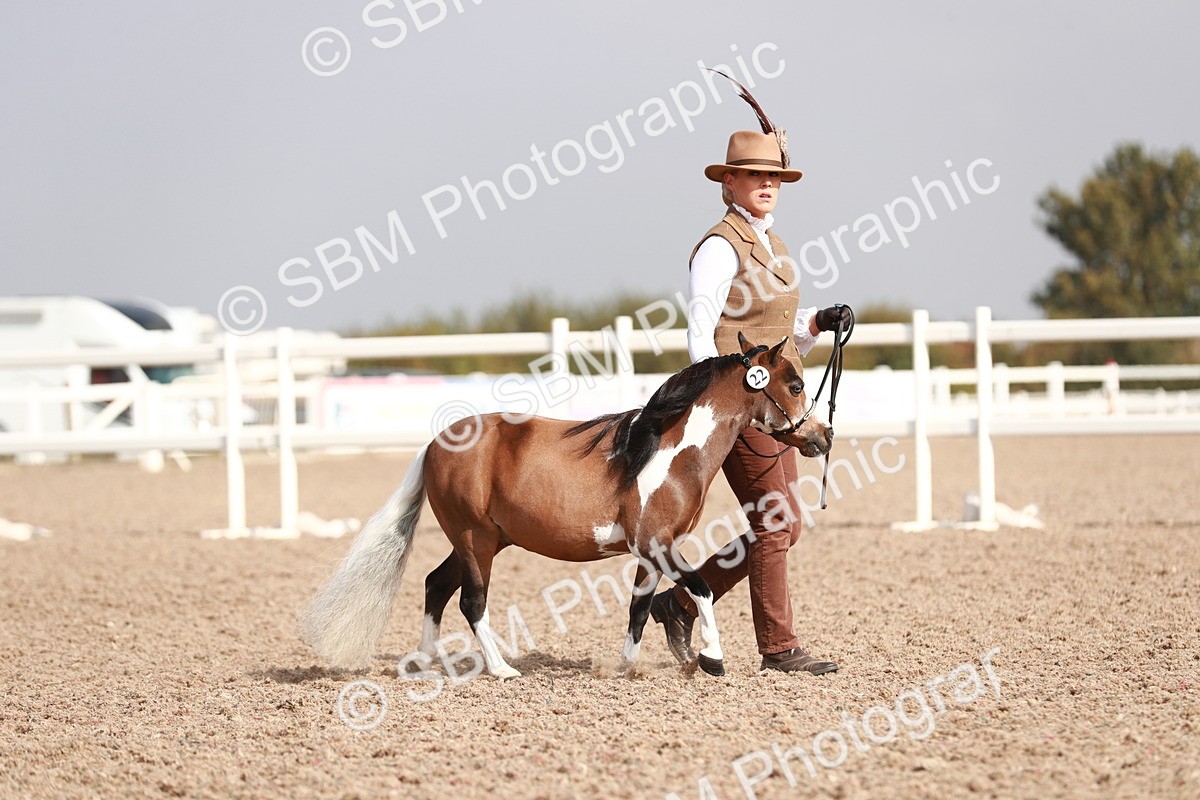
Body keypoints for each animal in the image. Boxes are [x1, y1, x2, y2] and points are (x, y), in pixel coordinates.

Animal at [299, 333, 833, 679]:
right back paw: (501, 669)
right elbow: (700, 589)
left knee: (435, 585)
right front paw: (712, 659)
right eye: (796, 385)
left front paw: (626, 667)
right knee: (471, 601)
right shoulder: (658, 545)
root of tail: (435, 443)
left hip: (485, 540)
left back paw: (425, 664)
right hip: (474, 540)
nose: (823, 435)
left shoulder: (649, 554)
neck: (664, 452)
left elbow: (640, 609)